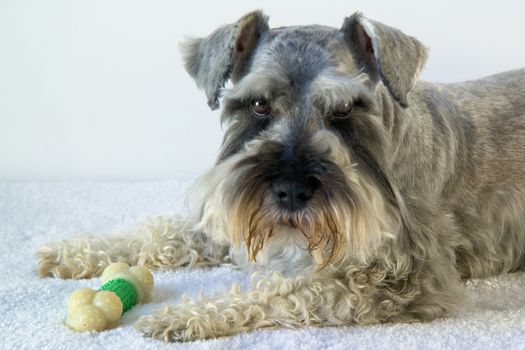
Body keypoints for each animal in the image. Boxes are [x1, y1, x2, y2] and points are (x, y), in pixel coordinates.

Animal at [36, 10, 524, 342]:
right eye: (257, 104)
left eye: (344, 109)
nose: (291, 191)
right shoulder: (237, 220)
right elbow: (162, 232)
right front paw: (71, 250)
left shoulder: (399, 280)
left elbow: (285, 291)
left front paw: (186, 315)